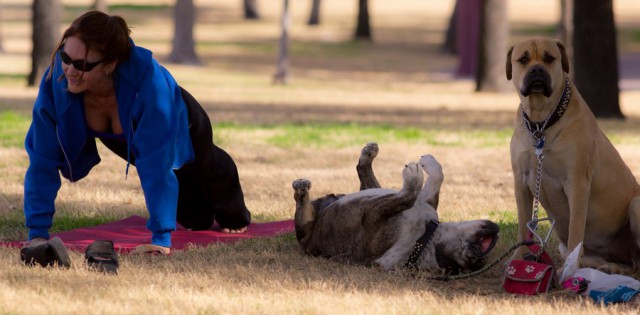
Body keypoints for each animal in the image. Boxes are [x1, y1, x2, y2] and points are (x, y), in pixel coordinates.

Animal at [294, 143, 500, 274]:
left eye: (473, 257)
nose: (496, 231)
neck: (424, 238)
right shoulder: (426, 202)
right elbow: (436, 178)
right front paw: (429, 162)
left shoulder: (372, 217)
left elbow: (407, 197)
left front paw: (414, 176)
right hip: (372, 190)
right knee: (365, 175)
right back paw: (369, 153)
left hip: (306, 228)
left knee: (301, 206)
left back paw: (301, 188)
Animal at [504, 37, 640, 274]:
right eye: (523, 59)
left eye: (549, 58)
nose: (537, 69)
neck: (542, 121)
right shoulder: (521, 181)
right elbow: (523, 226)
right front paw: (519, 257)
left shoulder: (576, 183)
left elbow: (576, 231)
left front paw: (569, 269)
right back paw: (609, 267)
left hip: (636, 204)